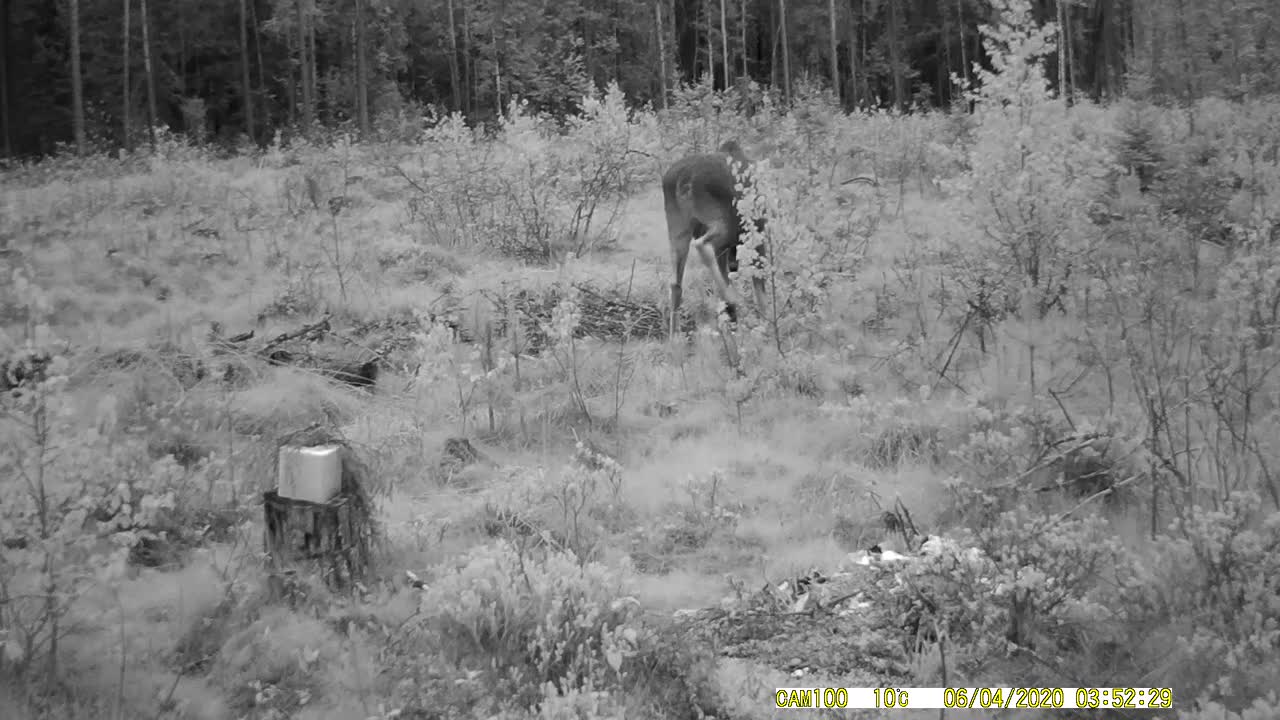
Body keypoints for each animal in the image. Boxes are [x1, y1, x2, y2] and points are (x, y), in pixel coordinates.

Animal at [660, 139, 768, 338]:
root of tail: (684, 180)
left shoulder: (725, 250)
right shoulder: (757, 234)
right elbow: (761, 290)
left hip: (678, 226)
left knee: (675, 282)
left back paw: (674, 338)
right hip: (720, 222)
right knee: (702, 245)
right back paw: (731, 298)